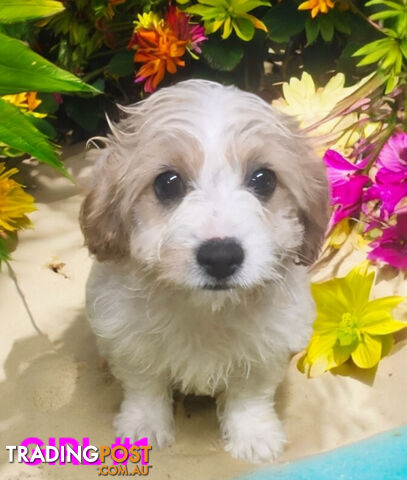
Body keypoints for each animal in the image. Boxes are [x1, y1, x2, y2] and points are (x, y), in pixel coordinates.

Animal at [80, 79, 332, 462]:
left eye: (264, 180)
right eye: (167, 182)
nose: (221, 256)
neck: (205, 310)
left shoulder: (268, 346)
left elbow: (250, 395)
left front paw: (253, 434)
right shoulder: (128, 339)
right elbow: (144, 385)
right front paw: (143, 427)